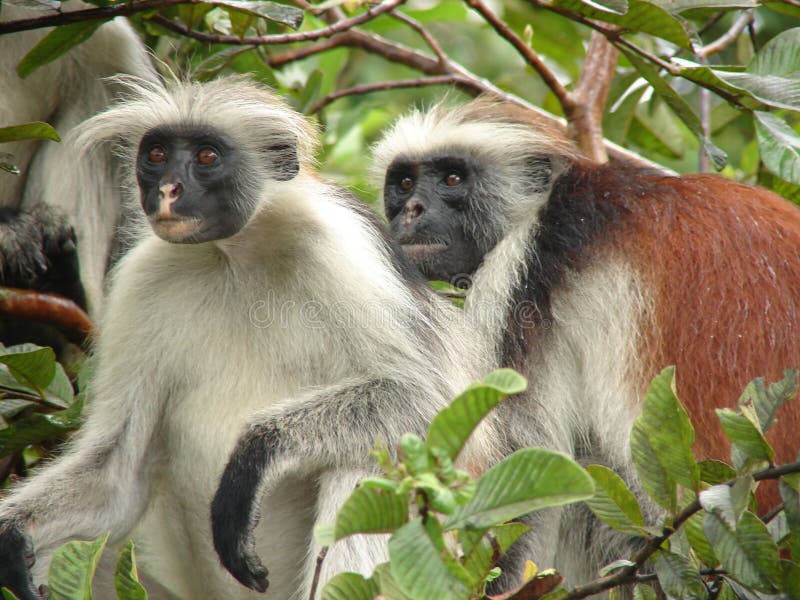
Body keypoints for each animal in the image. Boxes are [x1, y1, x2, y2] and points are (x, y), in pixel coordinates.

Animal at [0, 78, 494, 600]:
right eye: (156, 154)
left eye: (207, 156)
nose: (167, 190)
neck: (235, 256)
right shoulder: (142, 278)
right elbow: (117, 475)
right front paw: (12, 535)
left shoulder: (339, 244)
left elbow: (430, 398)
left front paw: (252, 459)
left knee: (370, 458)